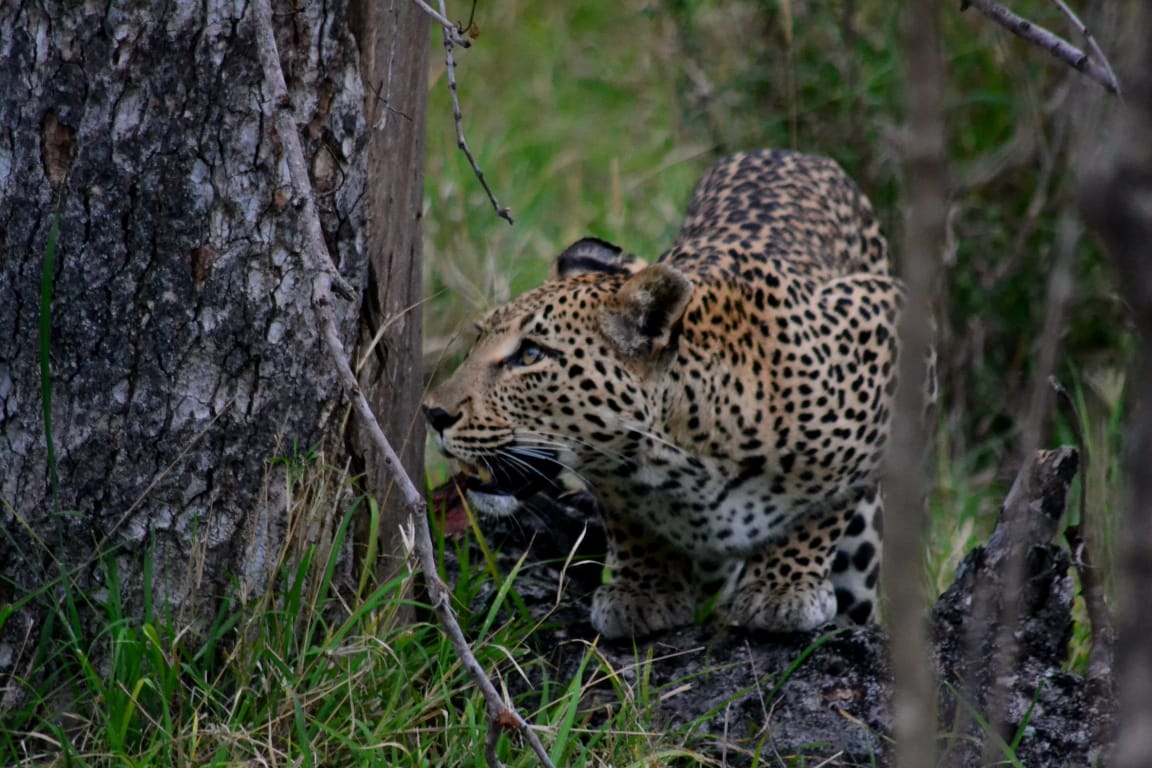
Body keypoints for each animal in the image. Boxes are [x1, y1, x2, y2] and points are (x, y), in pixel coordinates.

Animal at [423, 149, 910, 640]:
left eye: (530, 354)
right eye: (479, 339)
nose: (432, 413)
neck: (685, 459)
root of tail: (791, 152)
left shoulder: (880, 320)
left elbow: (826, 500)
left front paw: (782, 588)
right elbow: (631, 522)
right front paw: (643, 590)